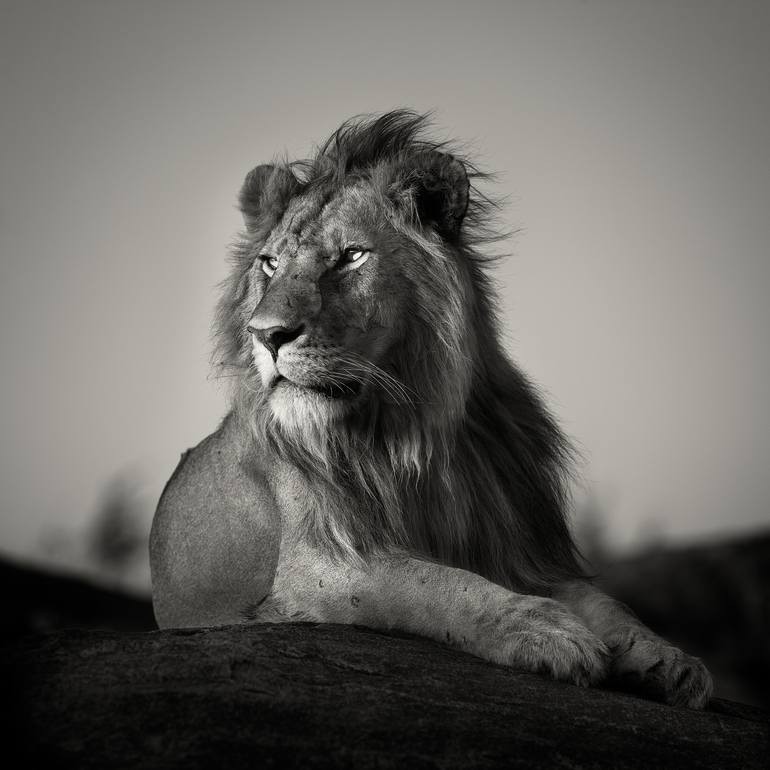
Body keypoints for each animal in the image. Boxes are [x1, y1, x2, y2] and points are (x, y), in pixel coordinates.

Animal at [150, 109, 712, 708]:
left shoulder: (521, 551)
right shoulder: (317, 567)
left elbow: (608, 604)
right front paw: (548, 632)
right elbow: (436, 585)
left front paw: (671, 661)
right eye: (270, 264)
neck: (408, 432)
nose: (267, 335)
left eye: (351, 256)